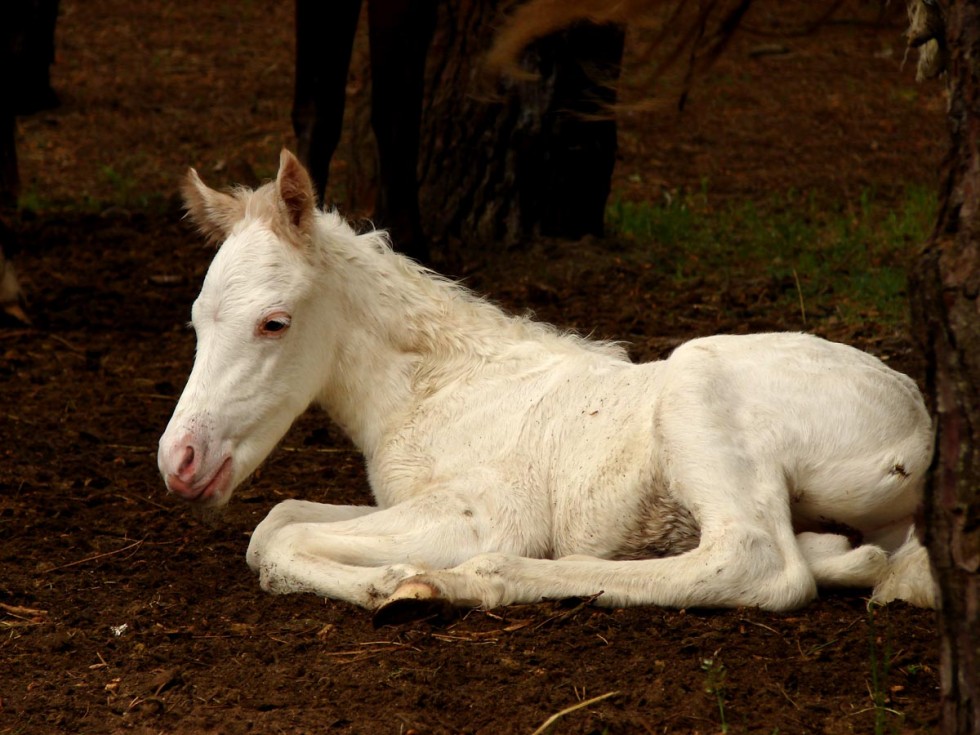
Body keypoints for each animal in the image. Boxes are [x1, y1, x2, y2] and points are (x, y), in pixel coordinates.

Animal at [157, 151, 936, 620]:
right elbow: (280, 518)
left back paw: (468, 580)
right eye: (195, 319)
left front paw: (391, 585)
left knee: (758, 563)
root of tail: (920, 427)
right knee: (868, 556)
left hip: (698, 385)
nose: (180, 461)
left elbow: (275, 537)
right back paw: (846, 553)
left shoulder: (482, 510)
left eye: (274, 322)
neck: (437, 391)